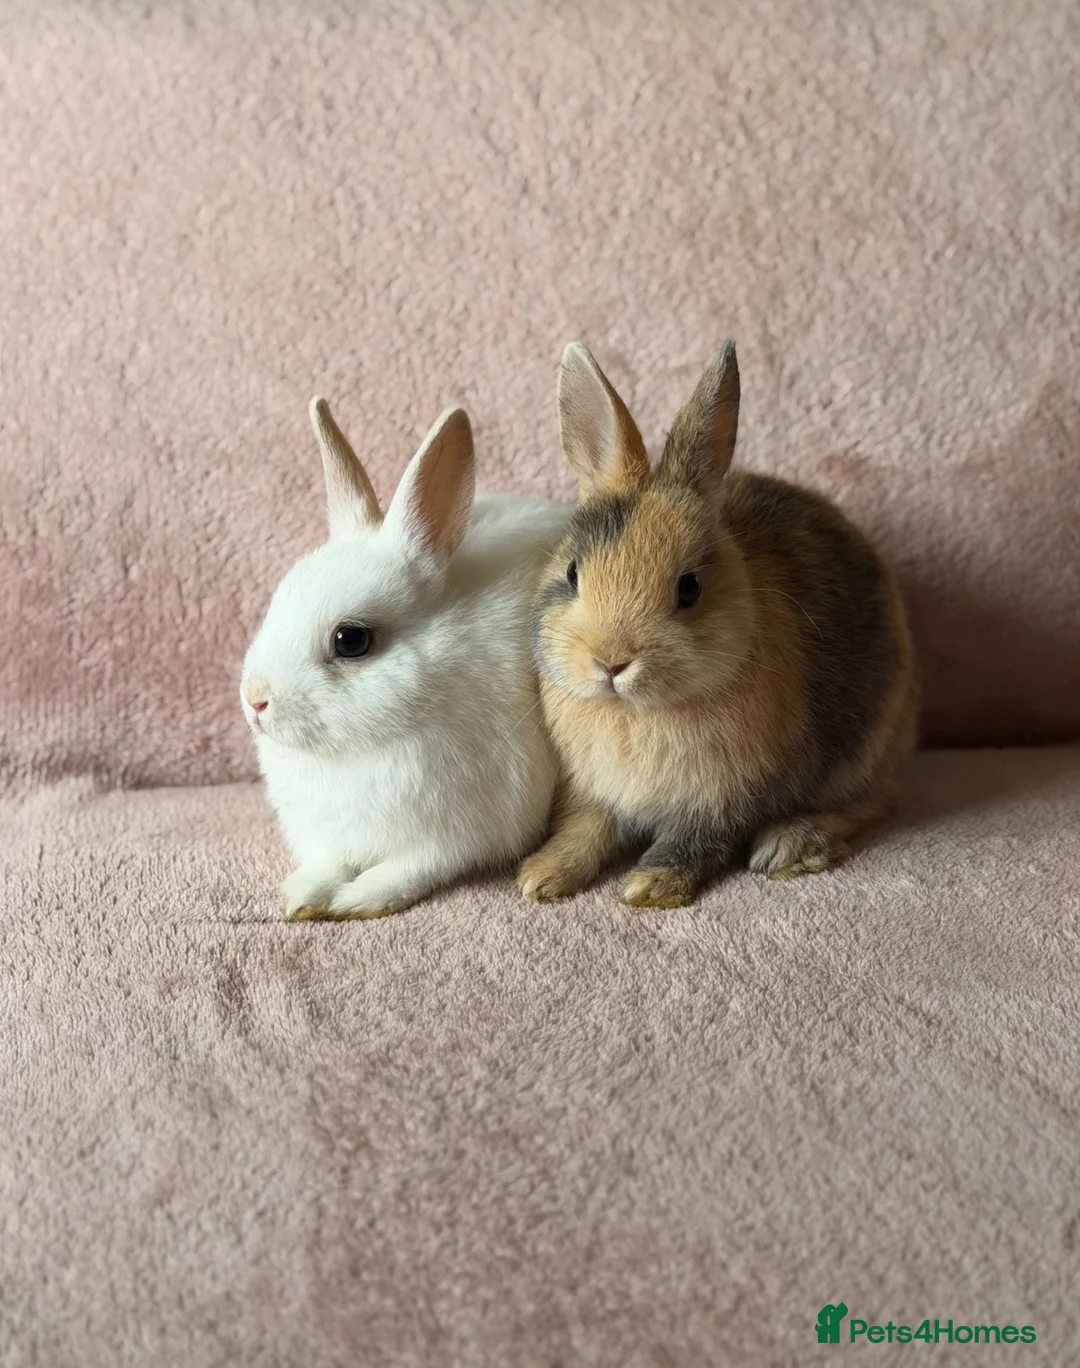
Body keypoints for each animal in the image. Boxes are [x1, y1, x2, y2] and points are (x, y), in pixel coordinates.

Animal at [241, 395, 569, 920]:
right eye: (278, 599)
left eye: (350, 640)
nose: (255, 700)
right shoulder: (327, 836)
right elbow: (327, 864)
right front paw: (302, 898)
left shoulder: (452, 836)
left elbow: (412, 870)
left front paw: (358, 900)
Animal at [518, 340, 918, 908]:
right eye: (572, 573)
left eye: (689, 588)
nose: (610, 663)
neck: (636, 711)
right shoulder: (591, 790)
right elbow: (583, 828)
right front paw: (542, 876)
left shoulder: (722, 798)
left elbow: (695, 841)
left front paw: (650, 888)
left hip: (865, 748)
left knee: (872, 801)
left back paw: (791, 846)